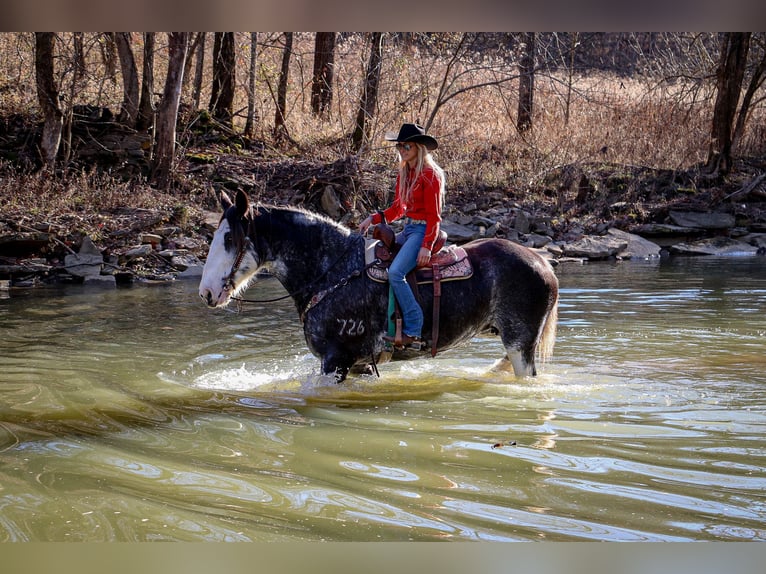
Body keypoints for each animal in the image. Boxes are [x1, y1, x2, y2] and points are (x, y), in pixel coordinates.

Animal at [198, 191, 560, 384]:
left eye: (229, 238)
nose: (206, 293)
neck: (334, 271)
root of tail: (542, 263)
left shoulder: (336, 361)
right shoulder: (359, 365)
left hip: (520, 346)